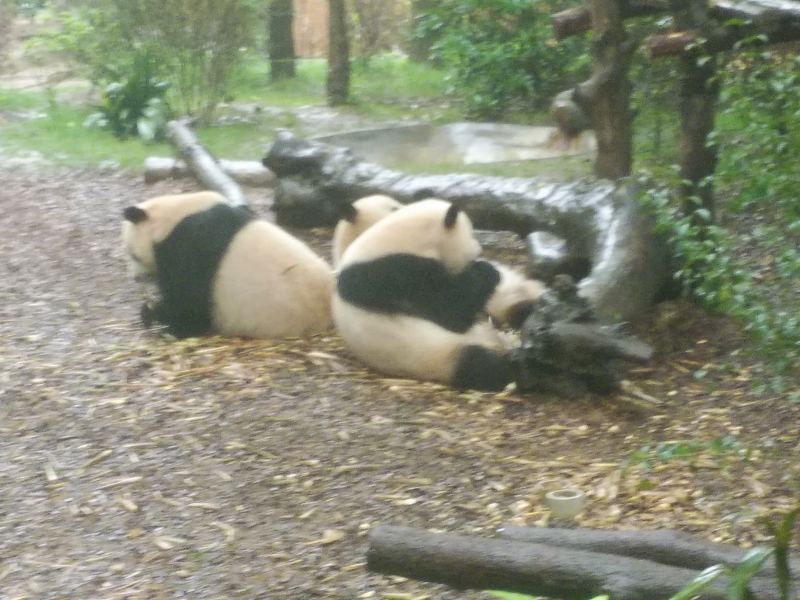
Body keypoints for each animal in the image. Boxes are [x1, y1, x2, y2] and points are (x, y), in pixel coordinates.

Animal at [333, 198, 517, 391]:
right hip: (438, 354)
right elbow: (451, 313)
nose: (478, 251)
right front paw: (487, 270)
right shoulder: (395, 274)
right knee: (478, 364)